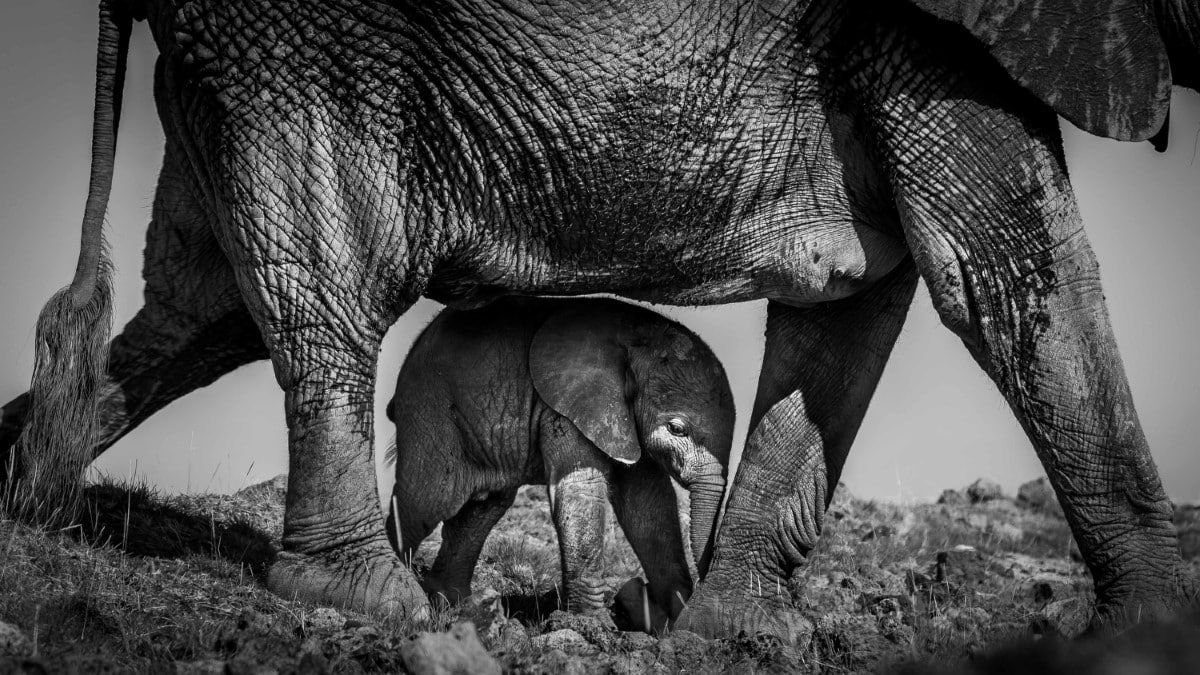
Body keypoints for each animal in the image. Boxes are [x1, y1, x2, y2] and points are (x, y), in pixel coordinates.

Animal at [388, 296, 734, 629]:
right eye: (677, 429)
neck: (637, 336)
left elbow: (648, 504)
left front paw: (678, 613)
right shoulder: (567, 406)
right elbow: (582, 489)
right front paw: (593, 625)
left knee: (482, 509)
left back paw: (451, 604)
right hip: (430, 410)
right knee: (426, 501)